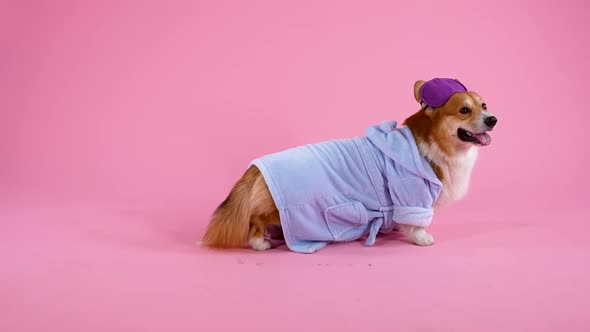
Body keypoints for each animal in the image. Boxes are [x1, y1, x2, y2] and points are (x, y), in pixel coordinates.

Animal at [201, 78, 498, 254]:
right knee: (256, 218)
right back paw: (260, 242)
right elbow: (417, 221)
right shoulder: (411, 194)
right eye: (464, 110)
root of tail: (255, 168)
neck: (433, 141)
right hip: (280, 208)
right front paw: (421, 237)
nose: (493, 119)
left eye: (484, 105)